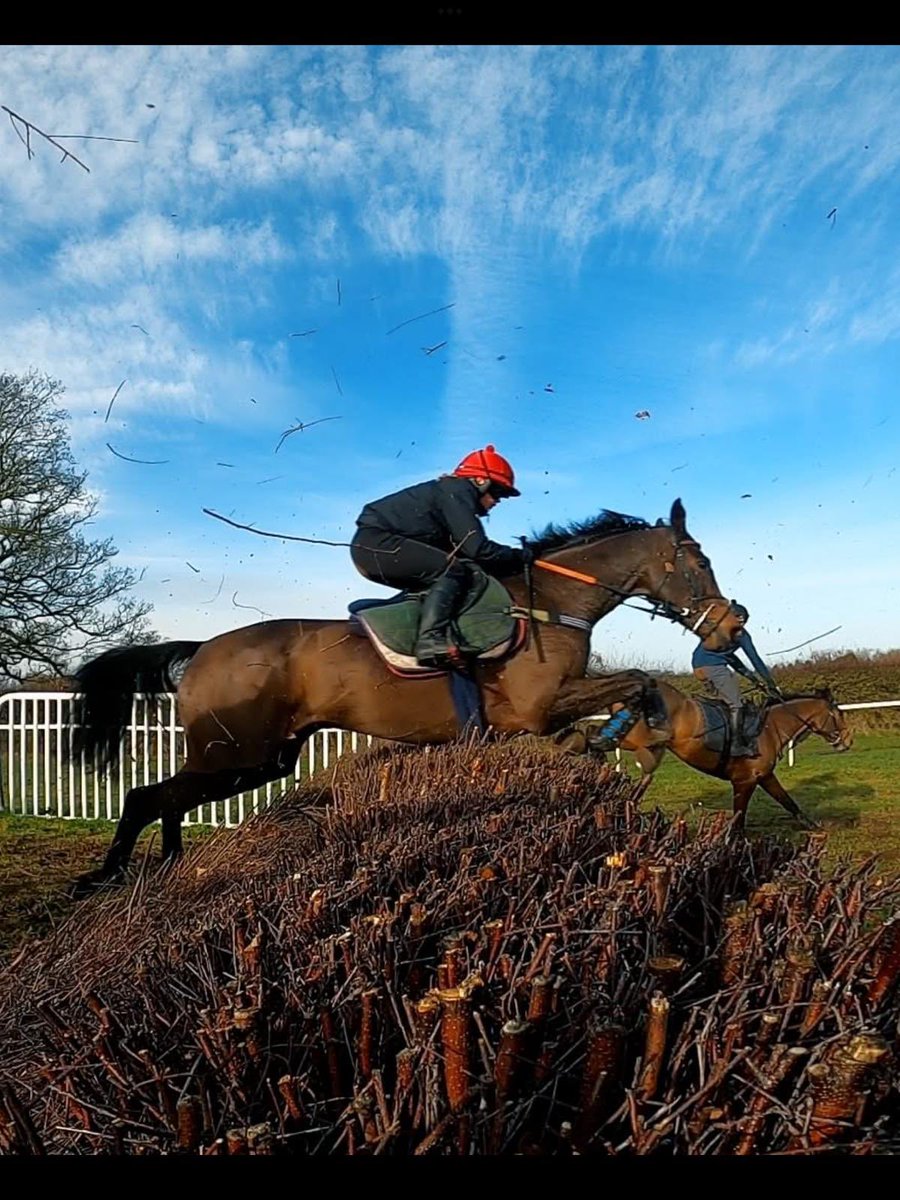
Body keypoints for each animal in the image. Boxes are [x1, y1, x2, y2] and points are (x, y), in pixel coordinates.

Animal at [69, 498, 741, 890]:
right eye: (701, 562)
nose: (732, 628)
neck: (550, 603)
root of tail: (203, 646)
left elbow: (631, 689)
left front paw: (602, 740)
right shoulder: (536, 707)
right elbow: (639, 679)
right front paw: (616, 734)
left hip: (261, 759)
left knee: (167, 797)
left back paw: (168, 868)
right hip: (234, 752)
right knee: (145, 796)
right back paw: (106, 877)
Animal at [573, 683, 853, 831]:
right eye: (838, 713)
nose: (848, 740)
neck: (768, 729)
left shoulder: (764, 776)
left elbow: (787, 801)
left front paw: (813, 826)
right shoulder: (744, 781)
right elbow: (738, 819)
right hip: (637, 737)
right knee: (592, 734)